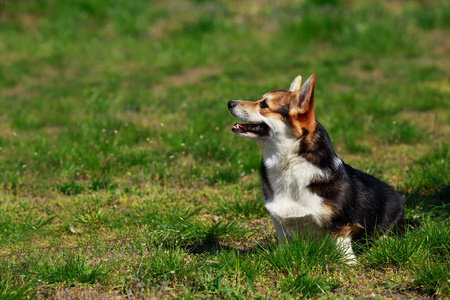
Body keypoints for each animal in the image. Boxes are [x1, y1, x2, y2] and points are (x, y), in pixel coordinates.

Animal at [229, 74, 404, 262]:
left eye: (264, 104)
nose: (230, 103)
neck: (290, 162)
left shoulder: (341, 223)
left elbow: (341, 242)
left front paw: (348, 262)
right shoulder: (278, 219)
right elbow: (284, 240)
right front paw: (279, 255)